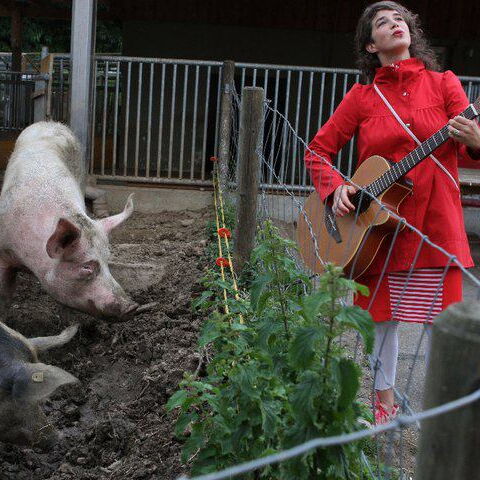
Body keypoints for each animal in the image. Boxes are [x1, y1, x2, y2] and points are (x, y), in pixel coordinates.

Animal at [0, 122, 139, 318]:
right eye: (86, 267)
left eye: (107, 261)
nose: (132, 307)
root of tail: (50, 123)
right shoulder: (3, 252)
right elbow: (4, 294)